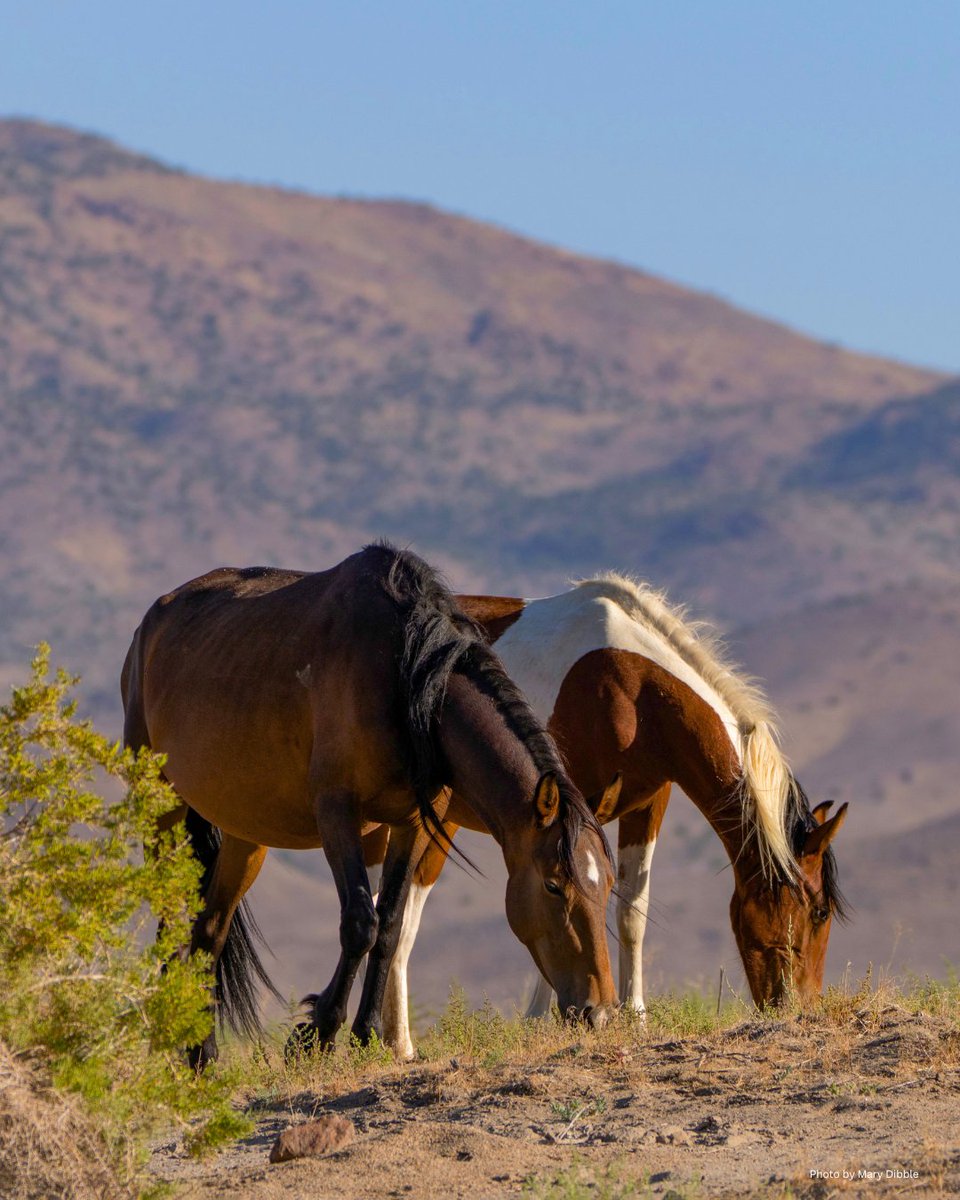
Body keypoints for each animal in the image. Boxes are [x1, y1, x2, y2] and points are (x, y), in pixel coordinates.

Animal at [121, 544, 618, 1067]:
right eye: (553, 886)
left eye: (607, 884)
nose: (599, 1011)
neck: (405, 681)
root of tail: (153, 621)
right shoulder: (338, 814)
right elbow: (361, 922)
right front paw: (316, 1033)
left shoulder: (413, 822)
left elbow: (391, 926)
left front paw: (365, 1033)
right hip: (162, 809)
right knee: (170, 919)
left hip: (244, 835)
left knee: (210, 930)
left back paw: (203, 1053)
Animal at [370, 574, 848, 1058]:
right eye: (820, 912)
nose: (800, 1008)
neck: (632, 687)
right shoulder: (567, 810)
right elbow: (564, 903)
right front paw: (546, 1019)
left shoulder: (647, 805)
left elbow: (631, 910)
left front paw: (634, 1017)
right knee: (399, 918)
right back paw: (398, 1043)